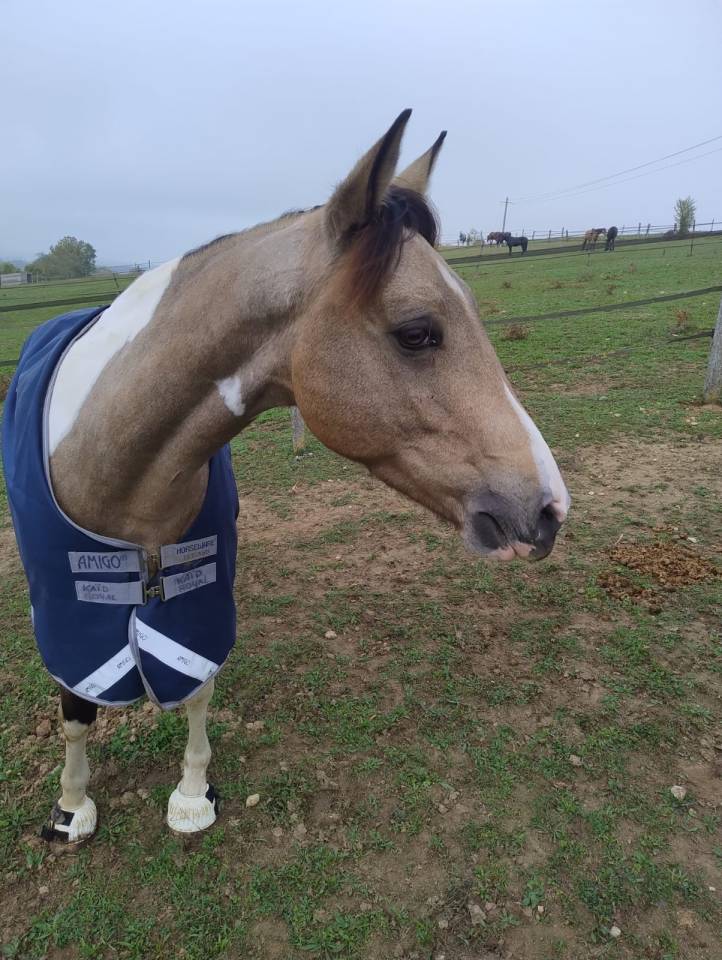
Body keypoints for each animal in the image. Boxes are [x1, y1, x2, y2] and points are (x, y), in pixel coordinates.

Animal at [2, 110, 569, 843]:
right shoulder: (68, 613)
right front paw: (71, 806)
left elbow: (198, 686)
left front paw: (192, 792)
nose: (551, 508)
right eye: (417, 331)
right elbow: (75, 710)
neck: (114, 464)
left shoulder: (196, 600)